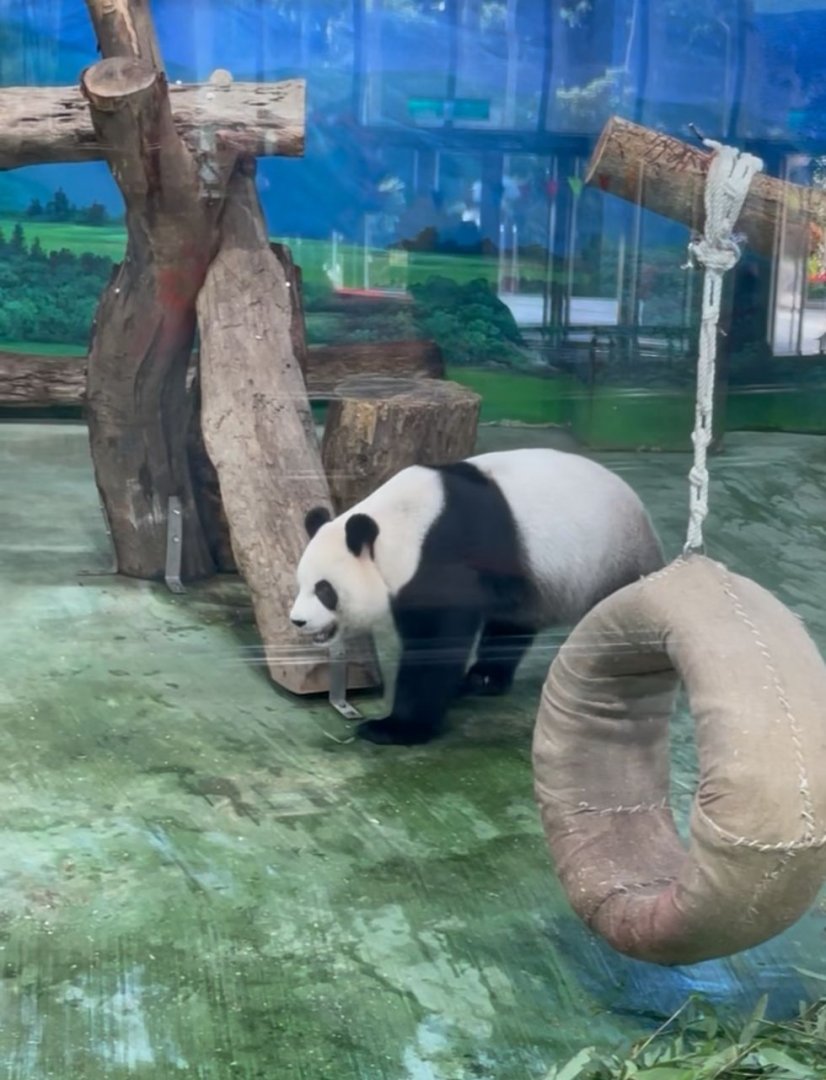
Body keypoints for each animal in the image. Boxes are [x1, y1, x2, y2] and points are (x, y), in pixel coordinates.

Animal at [290, 447, 664, 746]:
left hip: (612, 563)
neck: (402, 524)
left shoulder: (442, 554)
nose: (298, 621)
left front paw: (395, 728)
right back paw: (481, 679)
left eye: (325, 590)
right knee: (511, 624)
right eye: (301, 584)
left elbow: (437, 643)